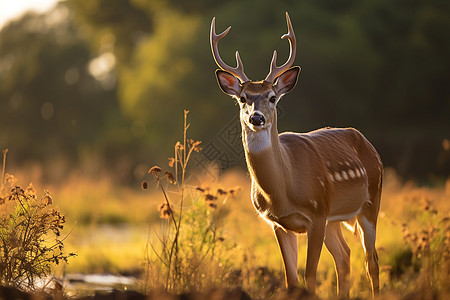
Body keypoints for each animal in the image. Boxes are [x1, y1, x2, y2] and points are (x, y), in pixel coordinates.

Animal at [211, 12, 384, 298]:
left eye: (272, 97)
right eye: (243, 98)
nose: (256, 118)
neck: (283, 191)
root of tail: (369, 145)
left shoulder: (316, 214)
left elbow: (310, 276)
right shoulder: (279, 223)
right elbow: (291, 279)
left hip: (371, 202)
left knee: (372, 261)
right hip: (334, 219)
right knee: (345, 257)